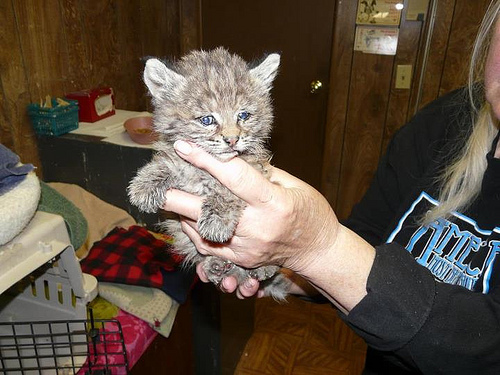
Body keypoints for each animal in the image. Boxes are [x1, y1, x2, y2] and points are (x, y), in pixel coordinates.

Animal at [129, 47, 292, 300]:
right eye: (207, 120)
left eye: (243, 116)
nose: (232, 140)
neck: (206, 169)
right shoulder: (179, 154)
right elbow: (168, 161)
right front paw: (144, 185)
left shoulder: (256, 168)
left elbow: (228, 190)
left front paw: (217, 220)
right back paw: (216, 265)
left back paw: (263, 268)